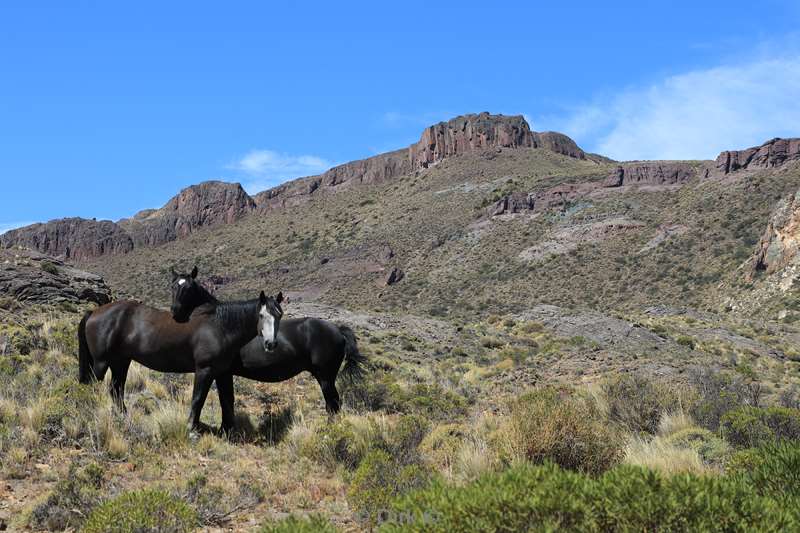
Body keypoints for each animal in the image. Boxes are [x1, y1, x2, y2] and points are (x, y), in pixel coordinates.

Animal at [76, 286, 282, 432]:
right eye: (262, 315)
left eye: (279, 315)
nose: (271, 344)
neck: (220, 326)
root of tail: (93, 312)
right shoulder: (205, 370)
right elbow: (198, 399)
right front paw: (191, 427)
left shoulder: (222, 372)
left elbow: (227, 400)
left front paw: (226, 430)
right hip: (101, 362)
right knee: (94, 385)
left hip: (120, 361)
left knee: (116, 389)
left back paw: (123, 415)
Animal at [172, 268, 368, 414]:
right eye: (173, 286)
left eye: (189, 288)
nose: (175, 313)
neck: (222, 322)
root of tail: (338, 330)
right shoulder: (224, 374)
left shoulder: (219, 372)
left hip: (326, 376)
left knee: (333, 405)